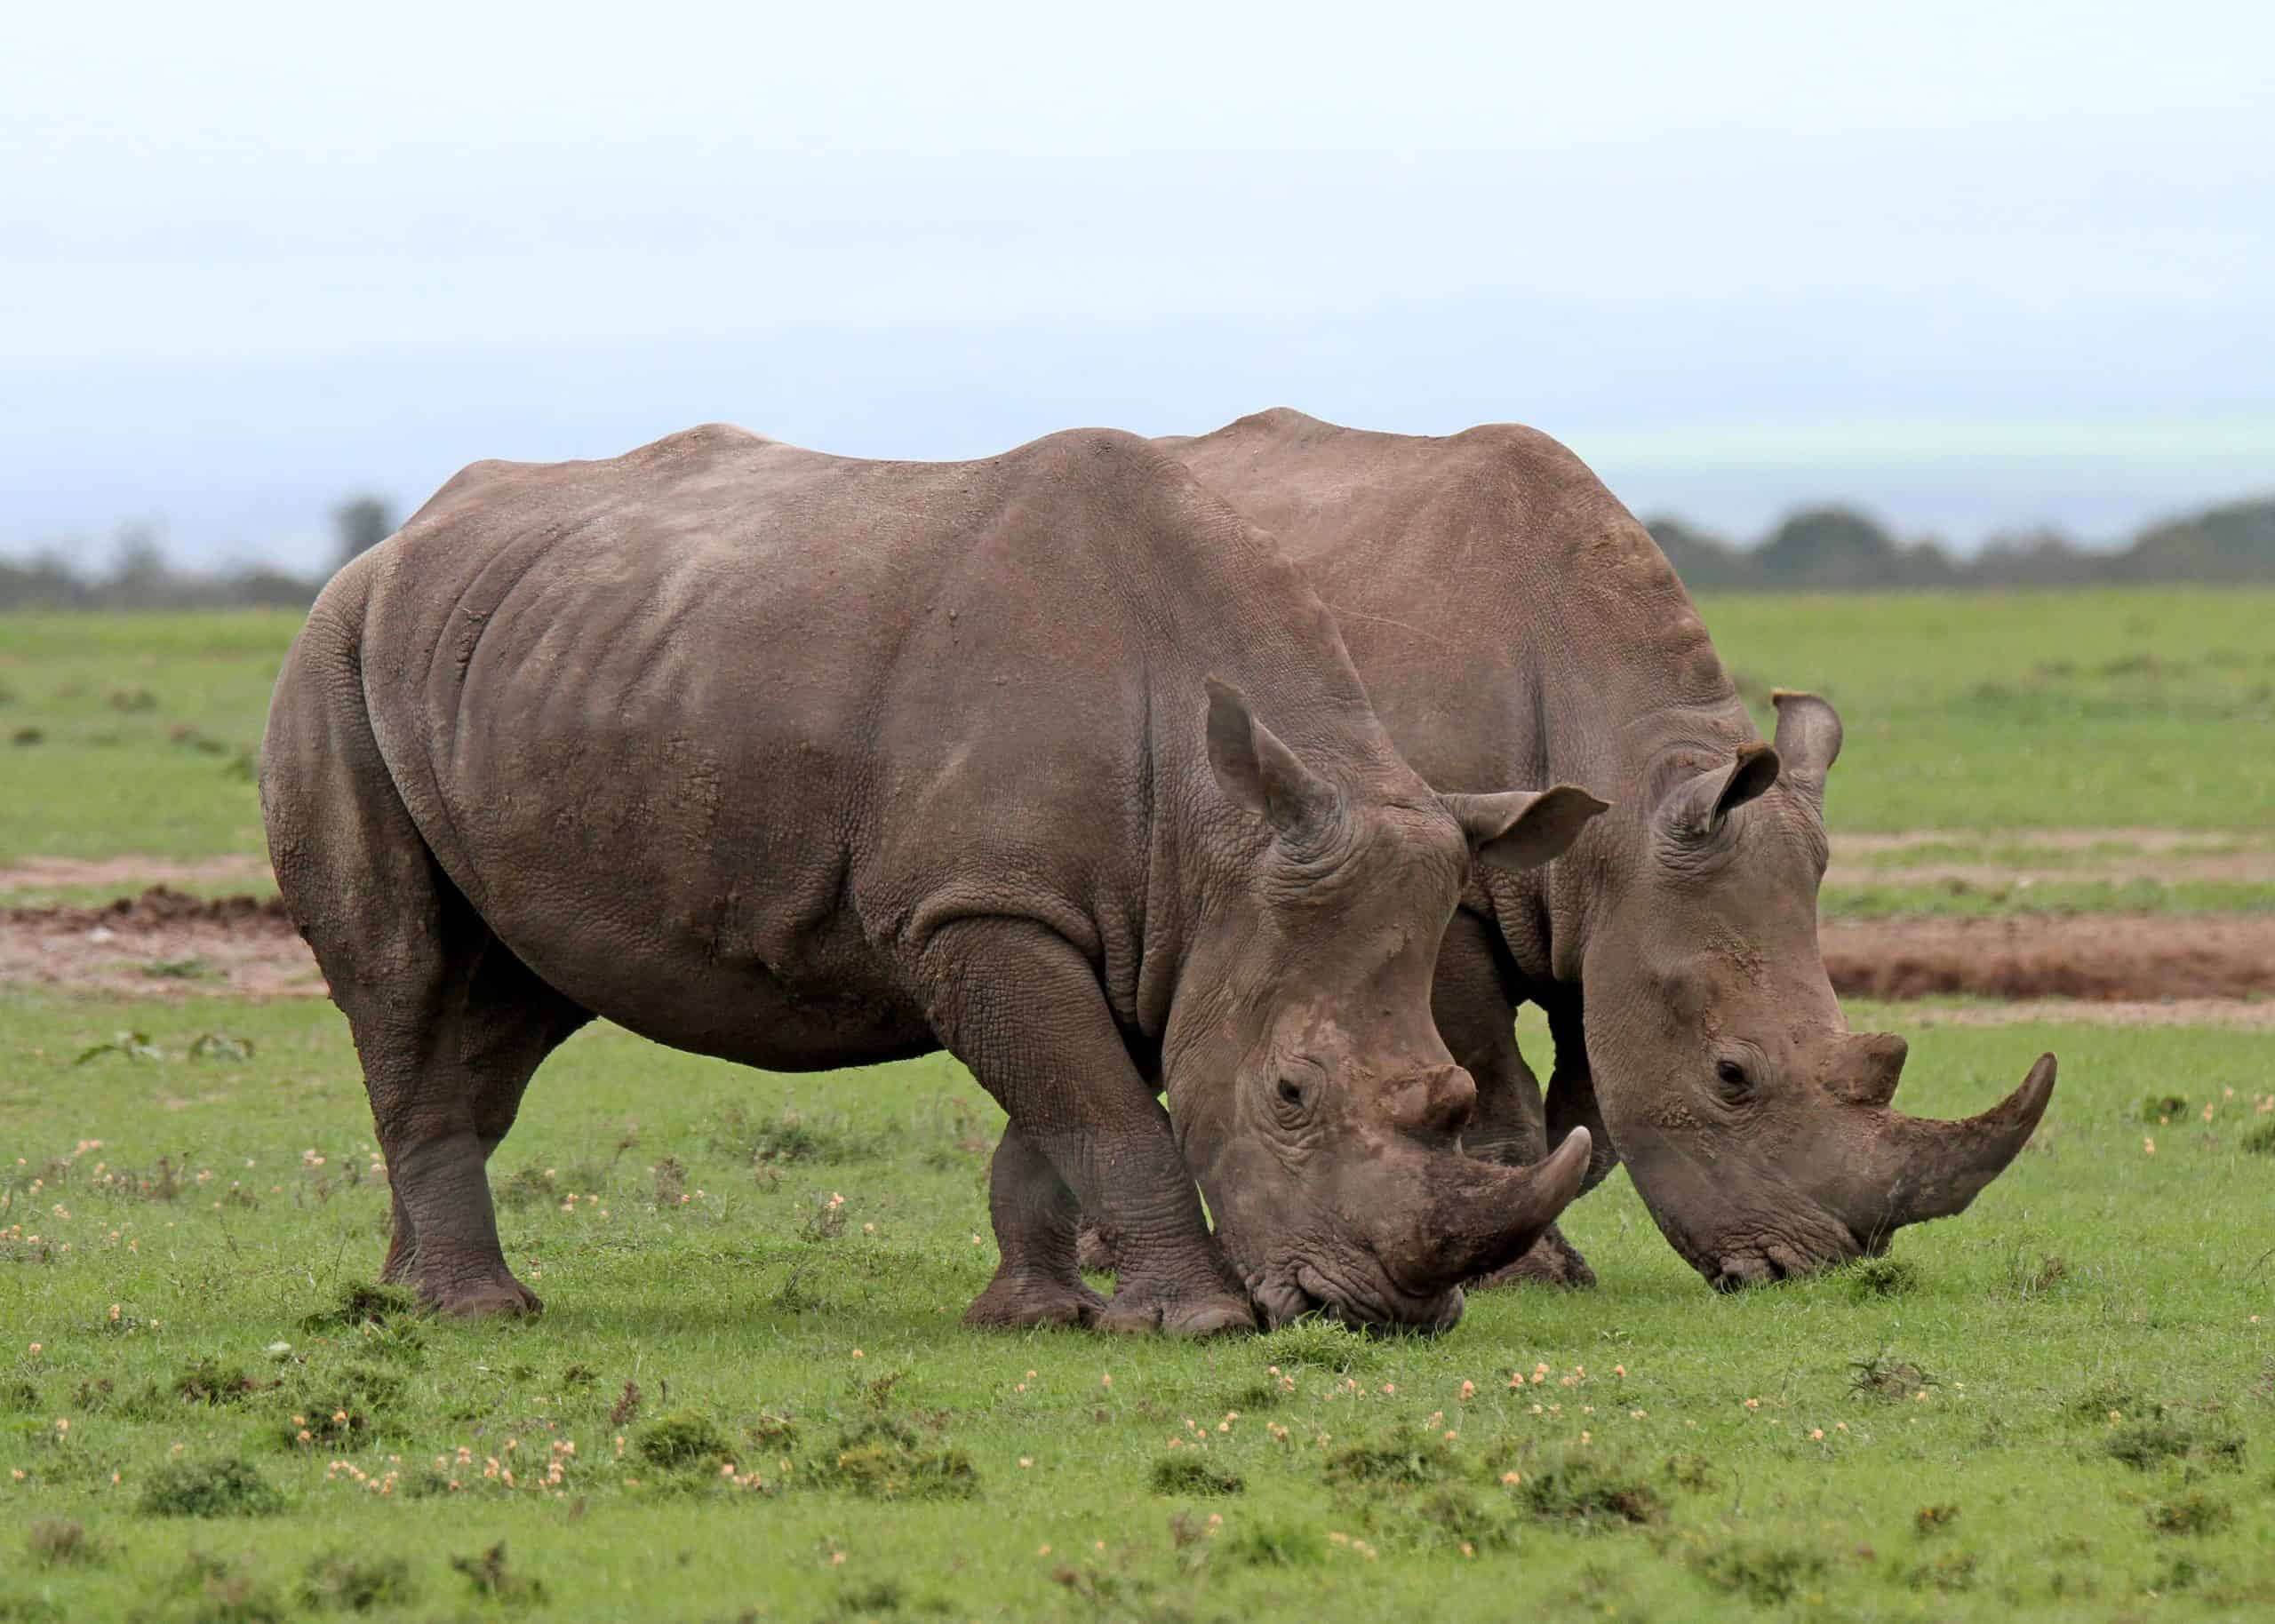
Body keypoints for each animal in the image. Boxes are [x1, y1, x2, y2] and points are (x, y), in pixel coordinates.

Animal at [260, 423, 1604, 1333]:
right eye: (1288, 1095)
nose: (1379, 1316)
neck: (1222, 823)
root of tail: (390, 546)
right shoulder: (981, 906)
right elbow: (1105, 1111)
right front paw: (1199, 1322)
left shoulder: (1102, 918)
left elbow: (1062, 1117)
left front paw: (1041, 1315)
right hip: (333, 659)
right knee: (406, 979)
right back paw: (476, 1311)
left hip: (524, 671)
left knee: (512, 998)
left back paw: (412, 1290)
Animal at [1137, 409, 2057, 1291]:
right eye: (1731, 1075)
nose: (1812, 1269)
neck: (1630, 789)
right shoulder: (1457, 894)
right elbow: (1494, 1082)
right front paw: (1531, 1274)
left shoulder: (1608, 910)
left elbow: (1591, 1109)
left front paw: (1547, 1250)